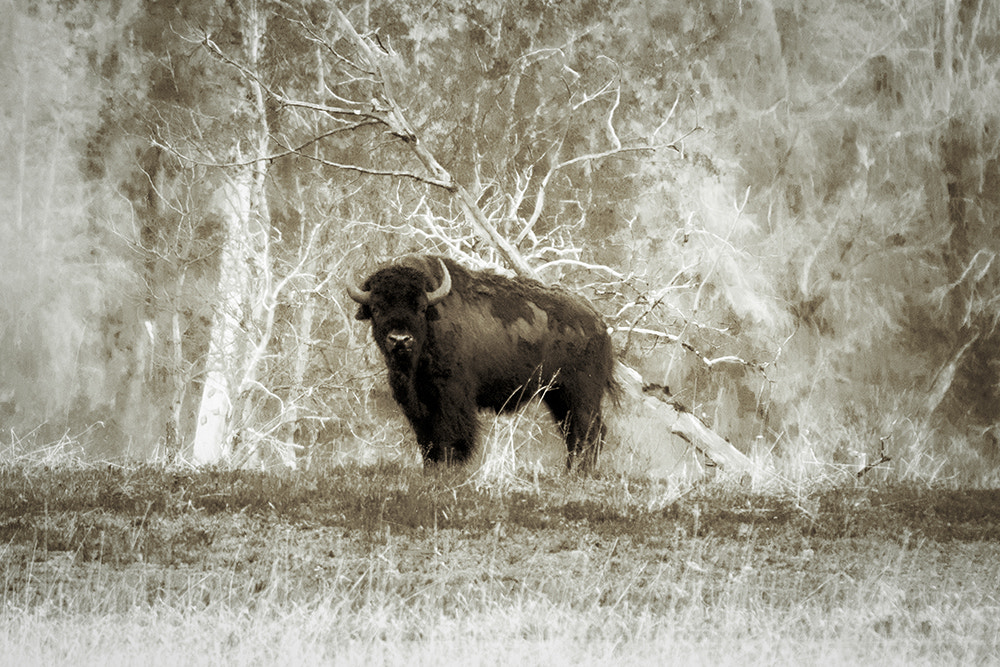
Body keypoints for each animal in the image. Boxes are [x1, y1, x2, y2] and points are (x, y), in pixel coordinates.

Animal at [350, 256, 616, 470]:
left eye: (421, 307)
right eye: (376, 308)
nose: (400, 339)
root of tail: (599, 322)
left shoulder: (452, 397)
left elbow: (451, 436)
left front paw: (450, 469)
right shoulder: (416, 403)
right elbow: (427, 440)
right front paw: (431, 470)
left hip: (581, 394)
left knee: (588, 431)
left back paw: (579, 473)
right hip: (557, 395)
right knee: (575, 432)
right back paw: (572, 471)